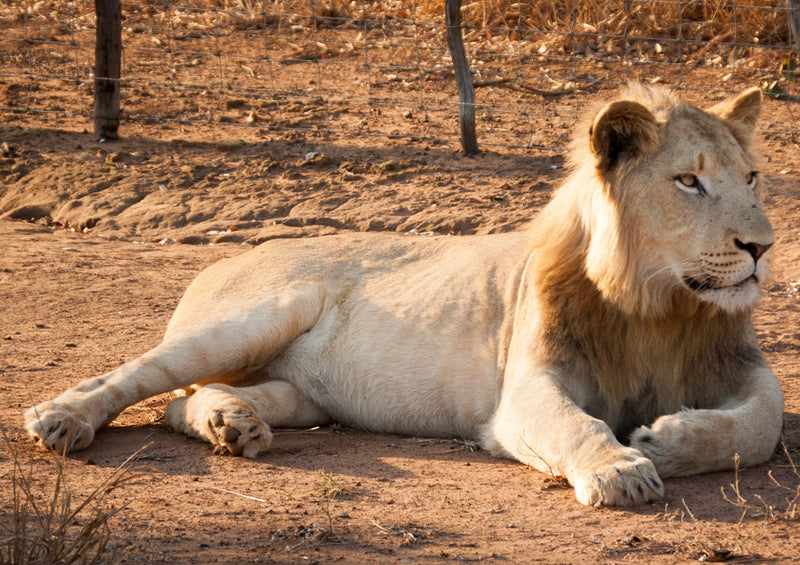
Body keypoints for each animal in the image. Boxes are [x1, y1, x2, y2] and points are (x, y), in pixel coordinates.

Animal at [23, 85, 780, 506]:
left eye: (750, 177)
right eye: (689, 181)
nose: (762, 247)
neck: (661, 308)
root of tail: (232, 255)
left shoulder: (738, 366)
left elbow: (762, 422)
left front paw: (667, 440)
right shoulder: (526, 390)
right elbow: (579, 425)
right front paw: (622, 467)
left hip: (303, 395)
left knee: (184, 403)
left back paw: (231, 426)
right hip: (253, 317)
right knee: (134, 377)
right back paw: (60, 420)